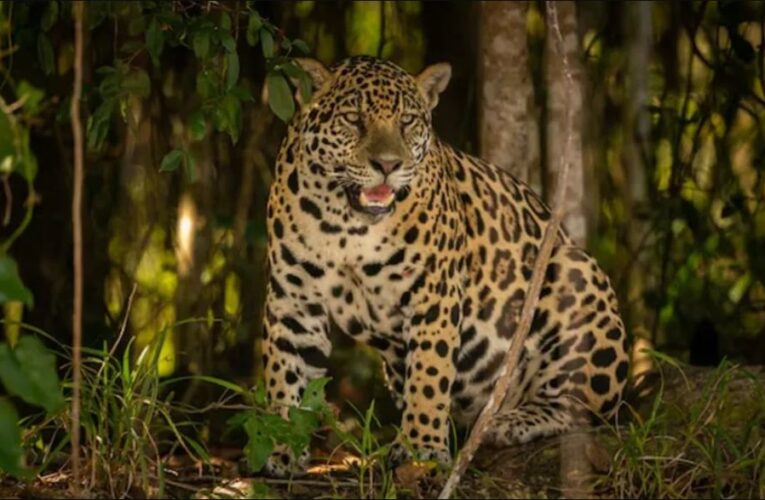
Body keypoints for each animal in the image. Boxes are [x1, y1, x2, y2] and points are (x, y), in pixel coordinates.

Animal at [261, 55, 629, 476]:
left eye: (406, 121)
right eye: (353, 119)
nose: (387, 165)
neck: (347, 225)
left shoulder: (433, 293)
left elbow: (429, 374)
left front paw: (421, 447)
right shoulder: (293, 301)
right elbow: (285, 374)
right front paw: (283, 446)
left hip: (575, 272)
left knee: (579, 407)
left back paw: (508, 422)